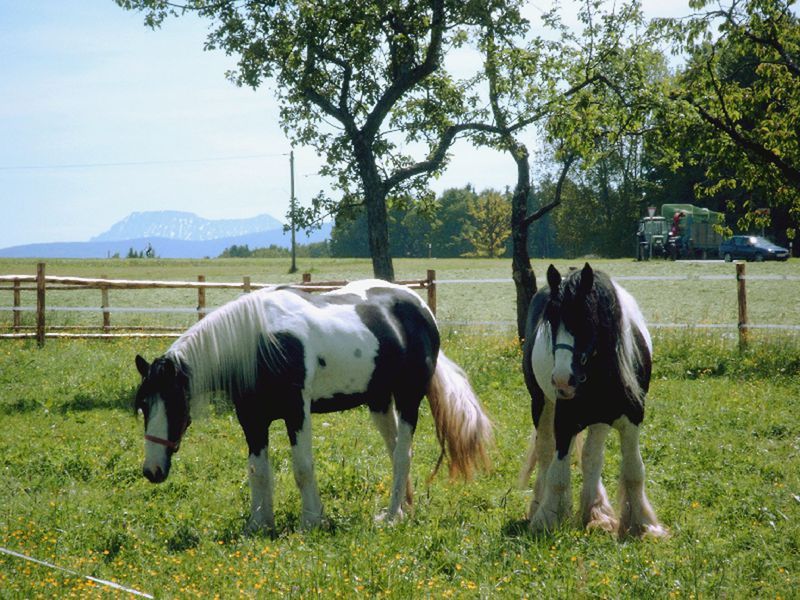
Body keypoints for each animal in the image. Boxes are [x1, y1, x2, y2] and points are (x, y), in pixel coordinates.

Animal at [134, 278, 490, 528]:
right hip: (379, 403)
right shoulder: (252, 419)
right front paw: (259, 524)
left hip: (408, 398)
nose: (152, 471)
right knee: (394, 453)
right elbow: (257, 471)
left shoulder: (297, 412)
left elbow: (302, 467)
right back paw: (400, 510)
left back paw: (390, 518)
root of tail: (420, 308)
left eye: (174, 403)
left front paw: (312, 520)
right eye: (143, 405)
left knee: (403, 456)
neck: (261, 342)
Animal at [516, 262, 664, 540]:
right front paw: (547, 518)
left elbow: (634, 471)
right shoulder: (565, 420)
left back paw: (596, 512)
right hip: (541, 404)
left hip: (599, 420)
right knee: (545, 451)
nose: (563, 380)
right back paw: (539, 505)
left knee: (591, 456)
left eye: (585, 318)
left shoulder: (632, 420)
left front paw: (642, 525)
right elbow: (558, 473)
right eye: (552, 320)